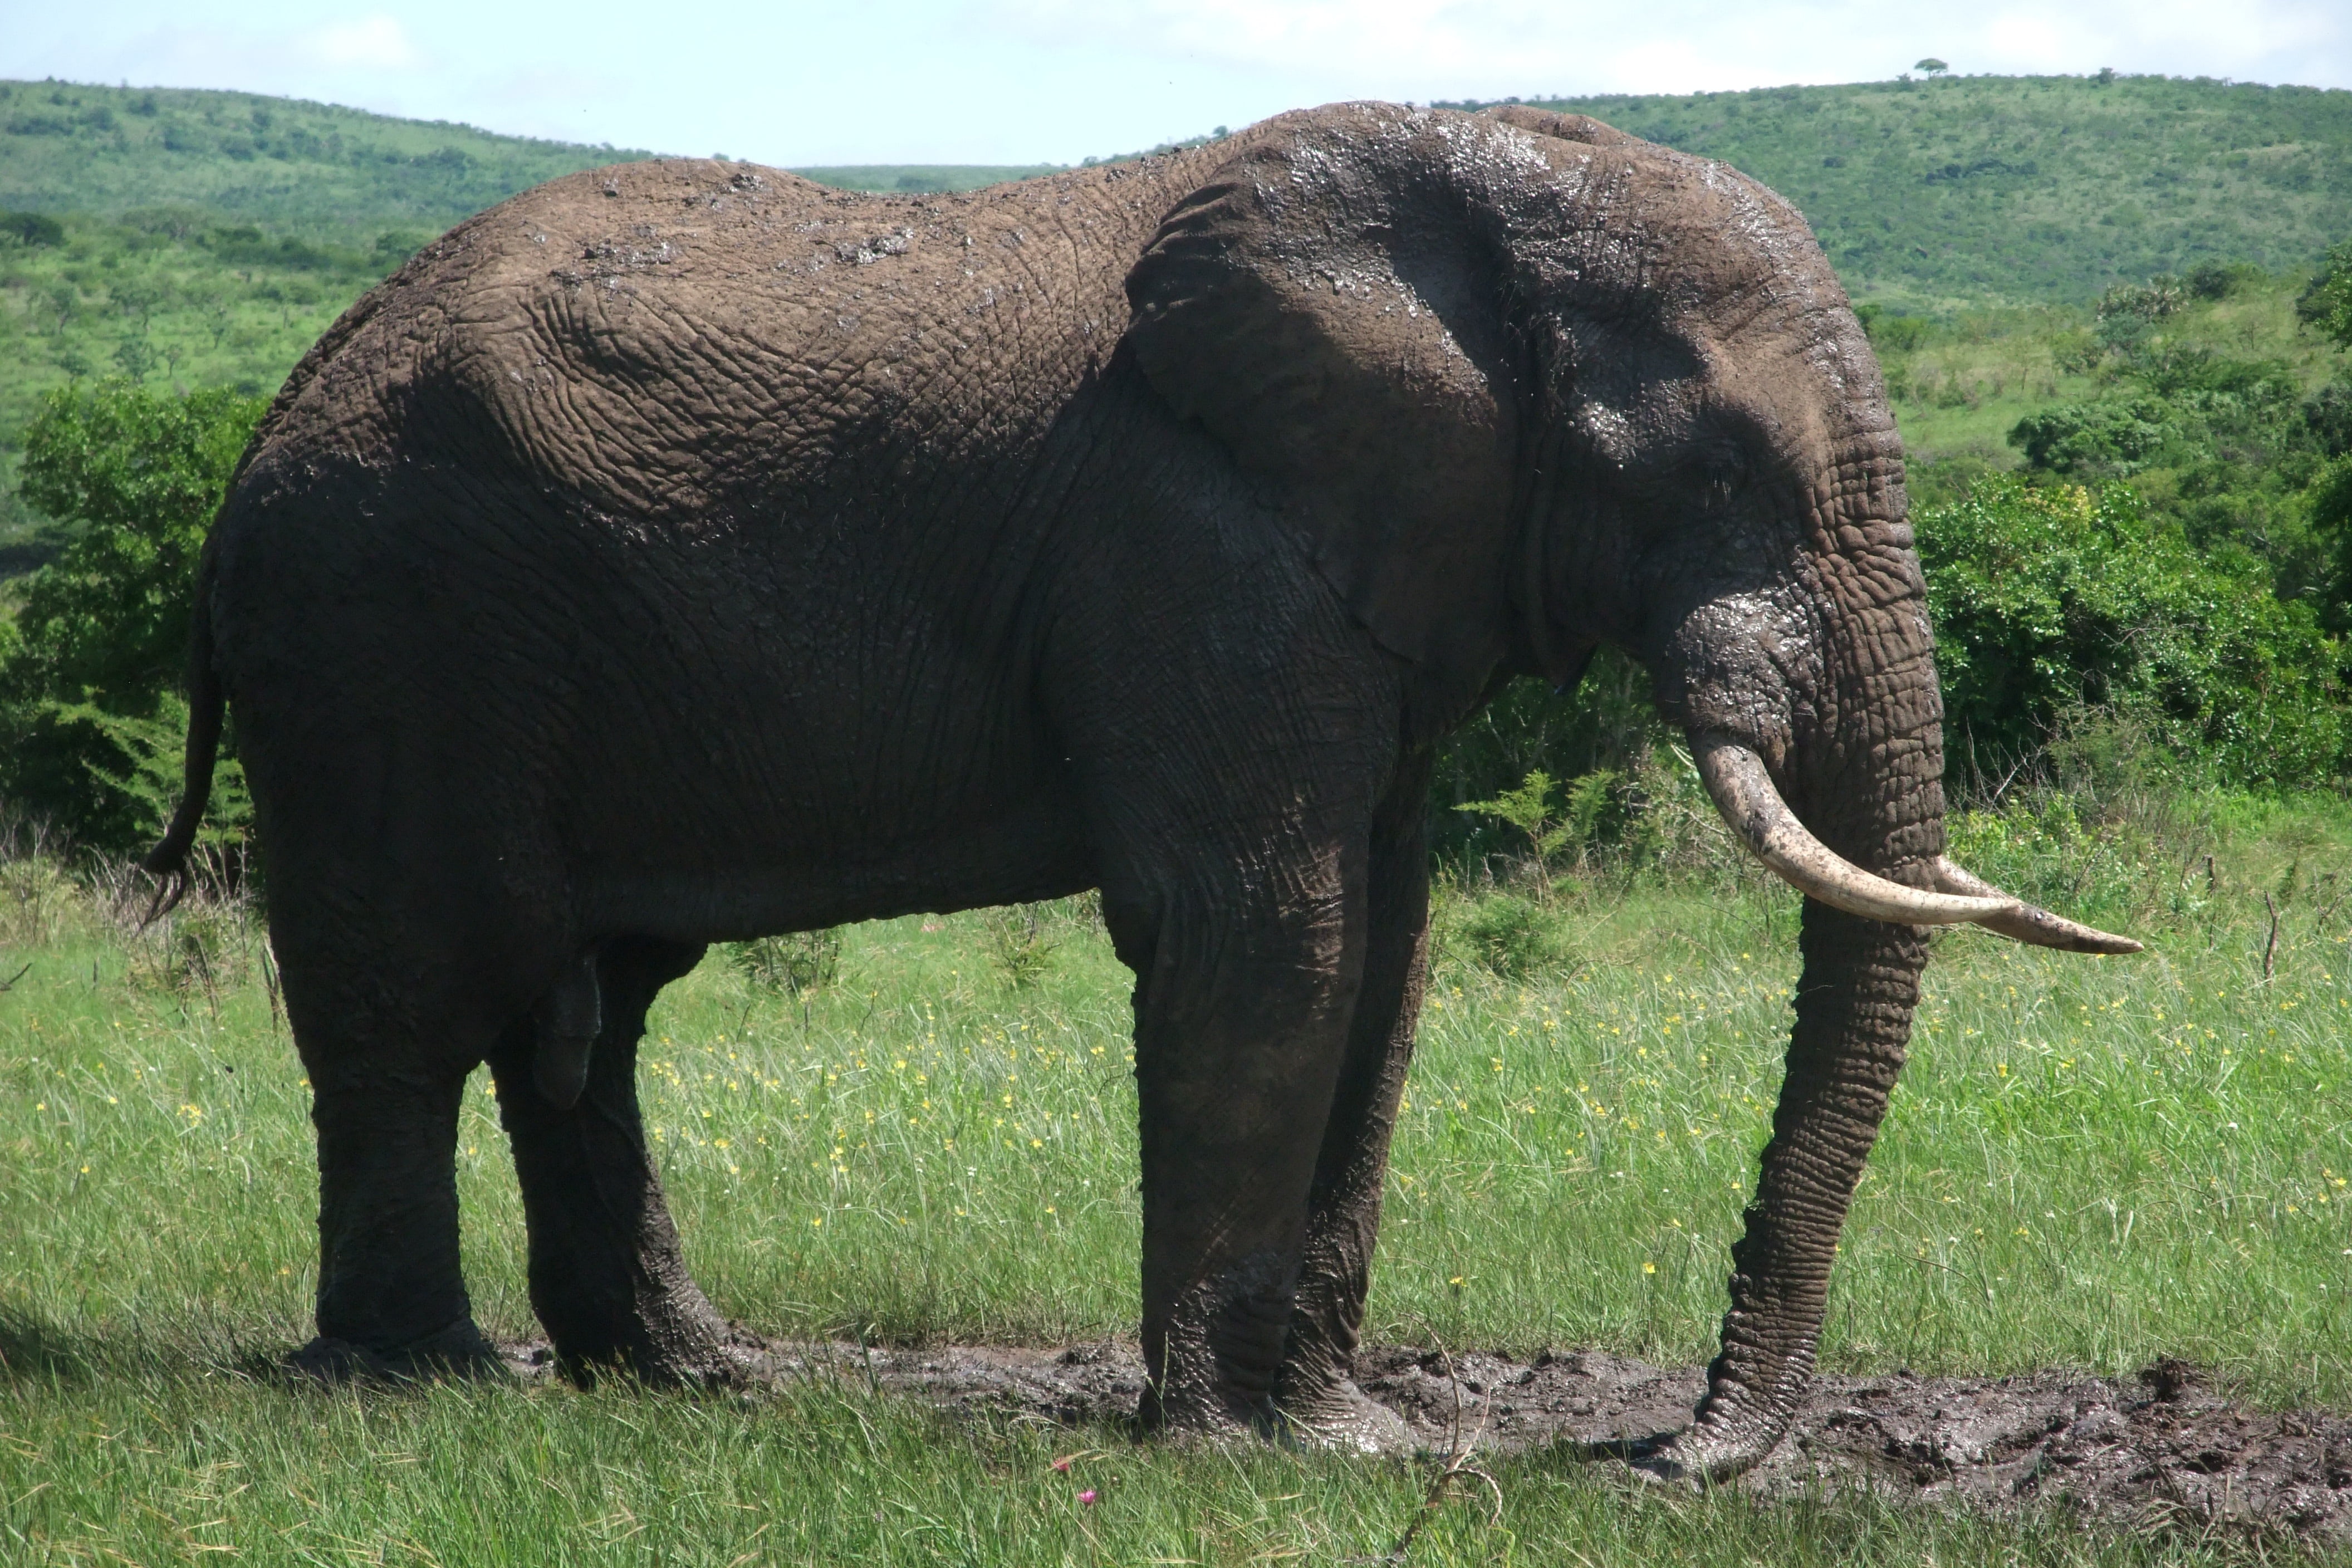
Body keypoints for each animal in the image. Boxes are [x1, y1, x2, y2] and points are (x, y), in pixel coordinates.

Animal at [146, 101, 2136, 1479]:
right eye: (1715, 468)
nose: (1676, 1450)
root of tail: (270, 419)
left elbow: (1389, 950)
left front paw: (1350, 1433)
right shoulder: (1190, 535)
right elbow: (1271, 934)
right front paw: (1256, 1452)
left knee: (590, 1016)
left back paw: (694, 1380)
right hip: (385, 632)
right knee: (413, 997)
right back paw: (426, 1380)